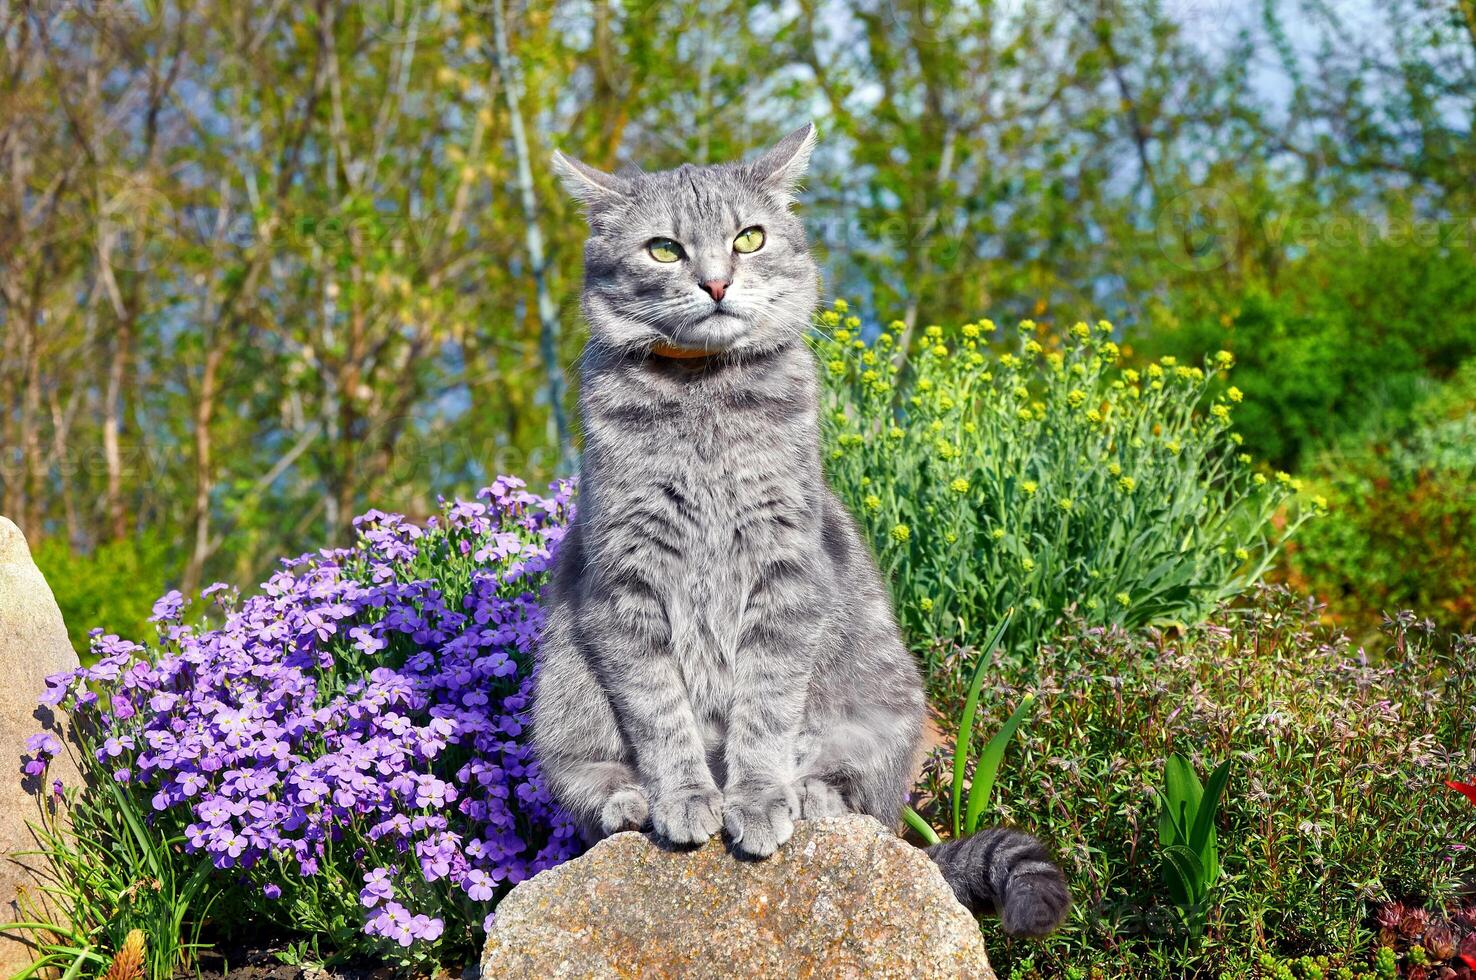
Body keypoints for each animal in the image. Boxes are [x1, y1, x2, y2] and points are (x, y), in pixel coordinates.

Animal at [531, 126, 1074, 938]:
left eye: (748, 238)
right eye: (663, 249)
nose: (717, 283)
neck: (703, 399)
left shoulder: (784, 570)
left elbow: (765, 708)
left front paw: (756, 800)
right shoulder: (625, 580)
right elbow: (661, 710)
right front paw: (686, 798)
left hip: (888, 714)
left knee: (865, 803)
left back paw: (810, 798)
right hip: (564, 690)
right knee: (586, 778)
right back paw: (630, 802)